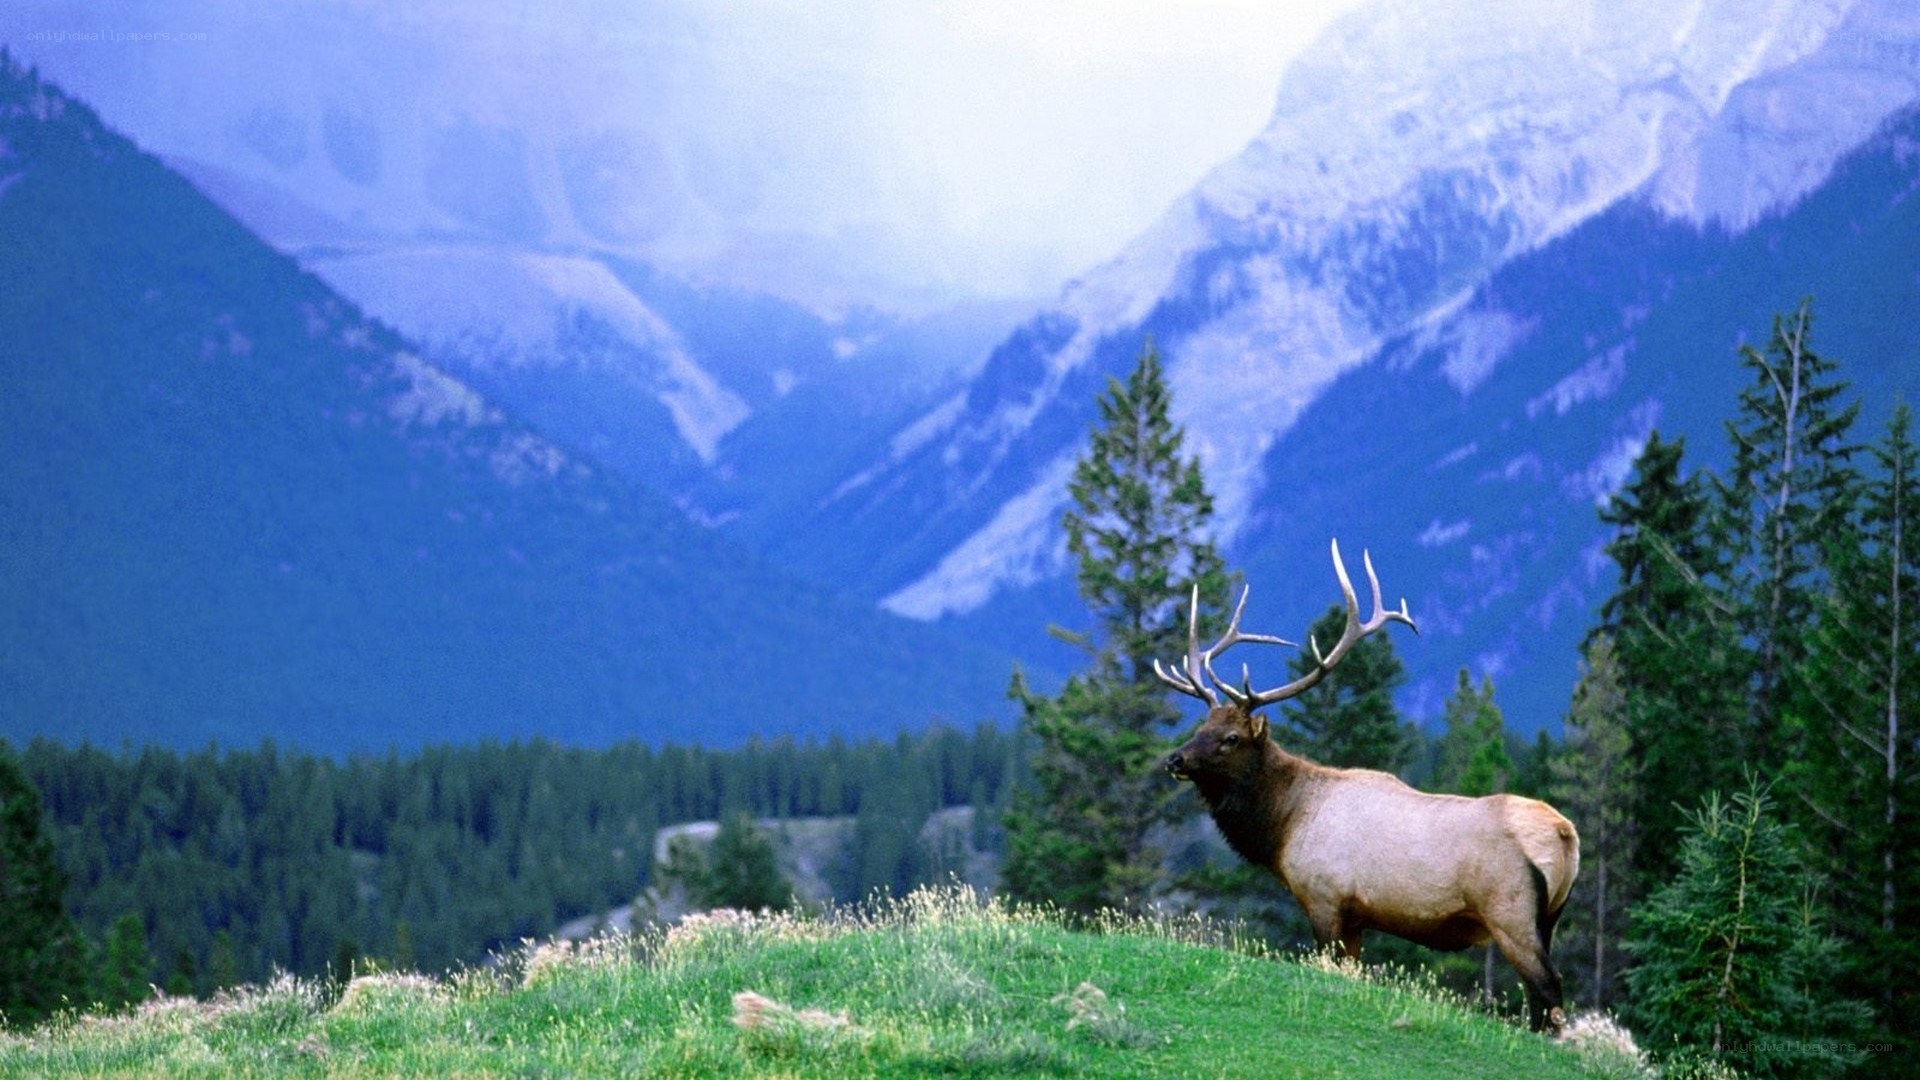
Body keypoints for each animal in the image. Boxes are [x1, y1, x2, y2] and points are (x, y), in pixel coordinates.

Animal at [1156, 540, 1579, 1034]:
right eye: (1200, 726)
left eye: (1231, 738)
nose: (1176, 759)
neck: (1284, 826)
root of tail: (1565, 834)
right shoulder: (1356, 916)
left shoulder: (1325, 898)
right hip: (1550, 917)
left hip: (1510, 911)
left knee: (1547, 986)